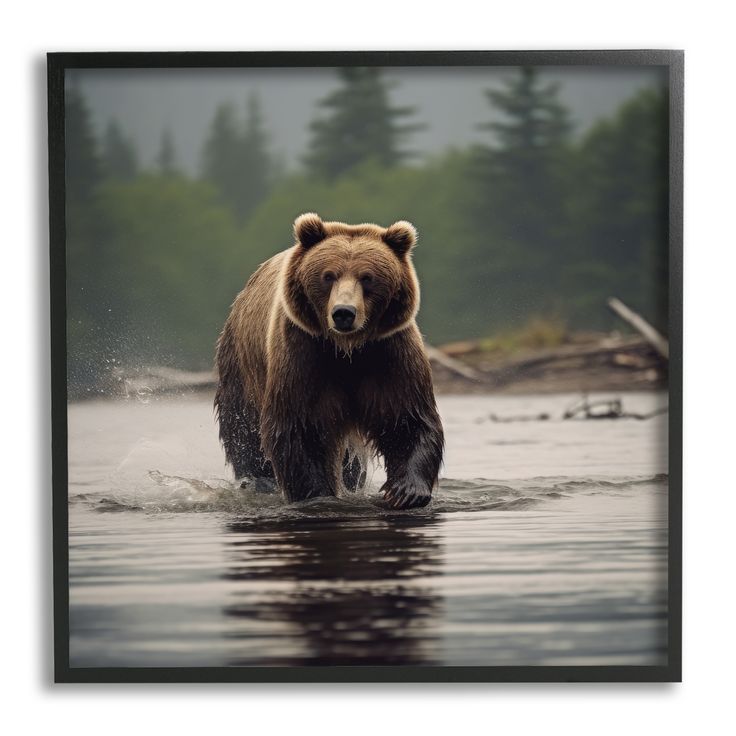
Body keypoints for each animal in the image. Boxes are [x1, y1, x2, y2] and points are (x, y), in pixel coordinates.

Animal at [213, 213, 442, 508]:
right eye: (328, 276)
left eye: (367, 277)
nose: (344, 313)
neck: (347, 350)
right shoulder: (303, 354)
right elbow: (300, 428)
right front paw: (319, 494)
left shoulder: (389, 352)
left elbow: (407, 419)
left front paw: (406, 491)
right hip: (242, 368)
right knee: (244, 431)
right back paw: (258, 479)